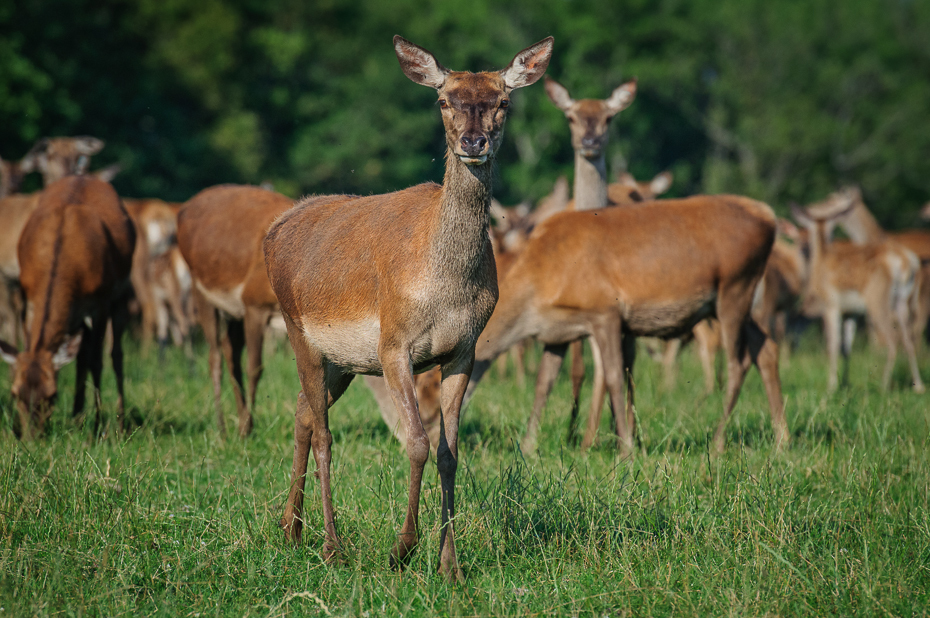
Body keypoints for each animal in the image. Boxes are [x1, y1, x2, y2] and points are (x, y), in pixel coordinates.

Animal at [0, 173, 135, 436]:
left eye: (52, 395)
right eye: (15, 393)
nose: (31, 437)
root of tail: (85, 175)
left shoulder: (100, 301)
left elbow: (97, 361)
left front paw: (96, 428)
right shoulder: (28, 295)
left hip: (121, 293)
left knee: (115, 354)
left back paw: (119, 423)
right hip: (74, 316)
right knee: (81, 352)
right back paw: (77, 416)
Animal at [174, 184, 290, 438]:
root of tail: (182, 209)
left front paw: (245, 423)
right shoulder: (253, 303)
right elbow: (255, 367)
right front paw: (247, 428)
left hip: (234, 310)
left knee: (230, 350)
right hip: (201, 289)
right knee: (214, 356)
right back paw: (222, 428)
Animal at [260, 35, 552, 584]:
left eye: (503, 101)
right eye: (443, 100)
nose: (474, 142)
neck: (447, 288)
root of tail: (277, 225)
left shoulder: (463, 351)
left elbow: (448, 453)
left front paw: (450, 565)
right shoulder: (394, 343)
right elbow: (415, 442)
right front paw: (402, 550)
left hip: (342, 361)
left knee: (303, 412)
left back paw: (290, 528)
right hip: (297, 330)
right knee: (324, 432)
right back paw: (331, 546)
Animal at [788, 188, 924, 390]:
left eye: (828, 201)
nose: (811, 206)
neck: (821, 260)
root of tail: (906, 262)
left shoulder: (831, 305)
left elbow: (833, 345)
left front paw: (831, 386)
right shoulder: (851, 312)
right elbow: (847, 348)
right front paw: (845, 383)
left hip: (878, 301)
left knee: (893, 339)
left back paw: (884, 385)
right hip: (903, 301)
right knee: (909, 339)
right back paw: (918, 385)